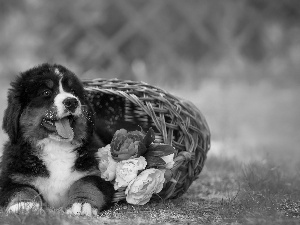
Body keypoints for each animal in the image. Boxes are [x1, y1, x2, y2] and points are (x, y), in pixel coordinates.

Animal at [0, 62, 114, 215]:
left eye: (73, 91)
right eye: (46, 93)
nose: (71, 101)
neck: (56, 147)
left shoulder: (98, 174)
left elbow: (86, 183)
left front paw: (81, 203)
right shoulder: (11, 179)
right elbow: (22, 189)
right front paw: (24, 205)